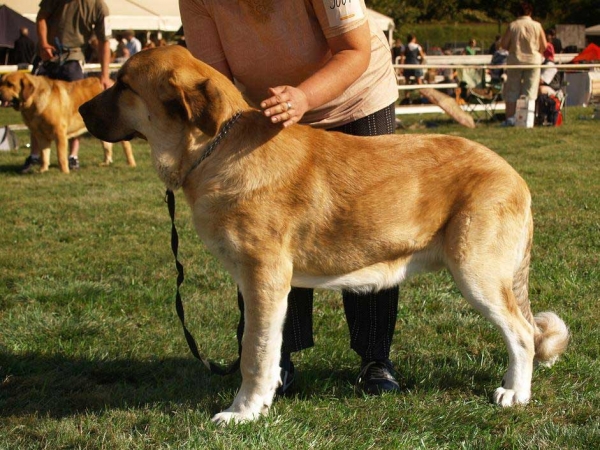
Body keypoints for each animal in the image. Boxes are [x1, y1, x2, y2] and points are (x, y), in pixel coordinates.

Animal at [0, 72, 136, 172]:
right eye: (2, 83)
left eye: (10, 84)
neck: (34, 102)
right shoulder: (40, 135)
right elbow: (44, 154)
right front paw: (43, 170)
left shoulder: (59, 132)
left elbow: (61, 155)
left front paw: (64, 172)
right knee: (107, 146)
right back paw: (106, 163)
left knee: (126, 147)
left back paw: (131, 164)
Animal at [78, 46, 568, 426]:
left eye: (123, 85)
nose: (80, 109)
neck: (215, 149)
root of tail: (513, 174)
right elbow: (270, 349)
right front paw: (264, 400)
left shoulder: (264, 279)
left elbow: (254, 353)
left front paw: (242, 413)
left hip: (476, 271)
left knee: (522, 333)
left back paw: (514, 393)